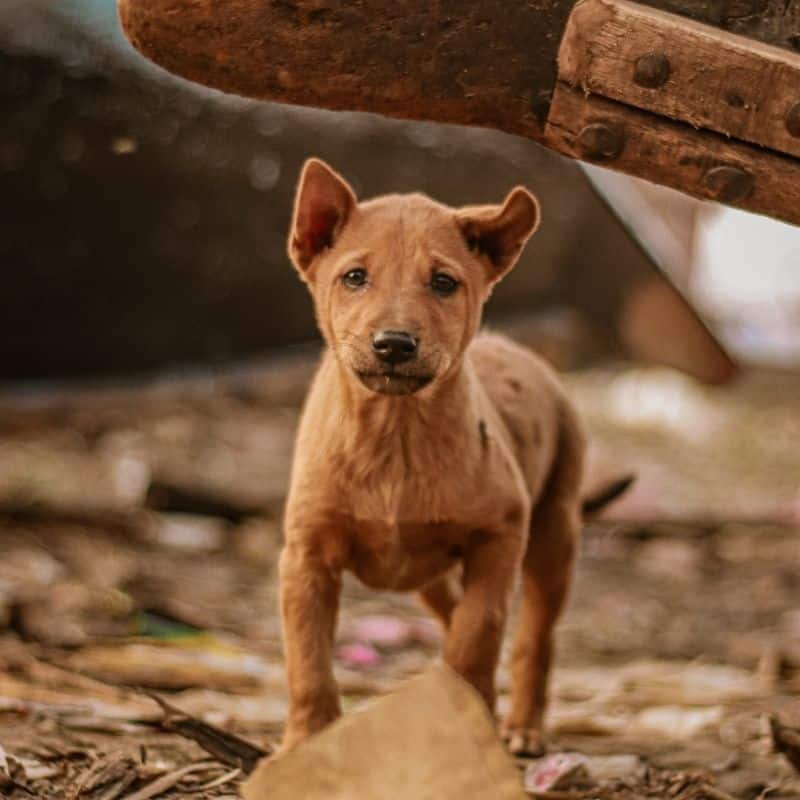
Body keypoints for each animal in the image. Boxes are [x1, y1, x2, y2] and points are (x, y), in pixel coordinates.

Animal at [282, 158, 620, 756]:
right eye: (354, 277)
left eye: (443, 282)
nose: (394, 344)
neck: (395, 436)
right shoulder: (306, 558)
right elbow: (309, 660)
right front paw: (303, 742)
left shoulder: (499, 538)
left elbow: (478, 634)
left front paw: (469, 722)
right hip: (432, 576)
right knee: (451, 611)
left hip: (554, 537)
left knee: (534, 637)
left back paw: (522, 727)